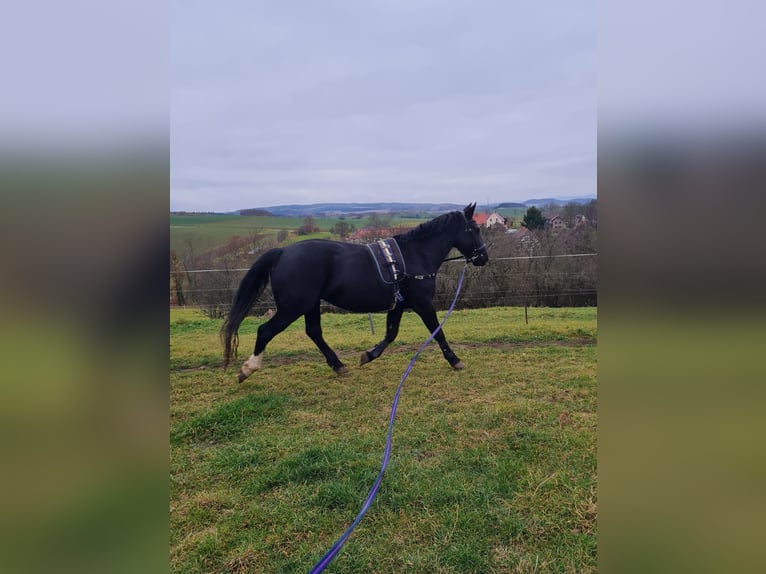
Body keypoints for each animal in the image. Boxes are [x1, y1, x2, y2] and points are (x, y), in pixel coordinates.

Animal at [222, 204, 488, 382]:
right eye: (474, 229)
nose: (483, 258)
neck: (414, 256)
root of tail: (282, 252)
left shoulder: (399, 305)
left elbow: (391, 334)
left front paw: (369, 355)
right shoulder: (422, 303)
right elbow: (437, 331)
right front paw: (455, 360)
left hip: (310, 304)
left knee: (314, 332)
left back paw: (338, 365)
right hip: (293, 307)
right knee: (265, 331)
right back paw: (248, 368)